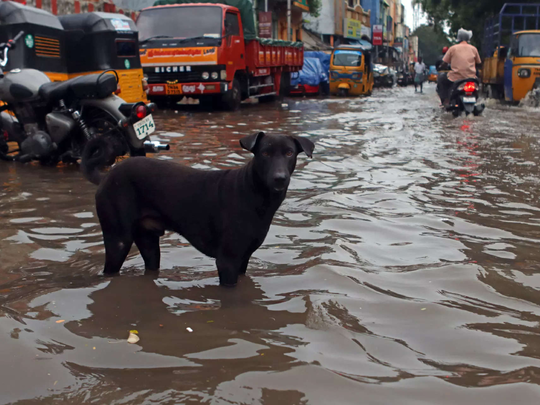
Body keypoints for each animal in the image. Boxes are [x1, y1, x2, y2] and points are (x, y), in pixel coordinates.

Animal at [81, 132, 314, 284]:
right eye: (265, 154)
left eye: (289, 153)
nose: (279, 178)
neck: (255, 195)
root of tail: (106, 177)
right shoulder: (227, 261)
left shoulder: (243, 259)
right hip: (118, 241)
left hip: (148, 243)